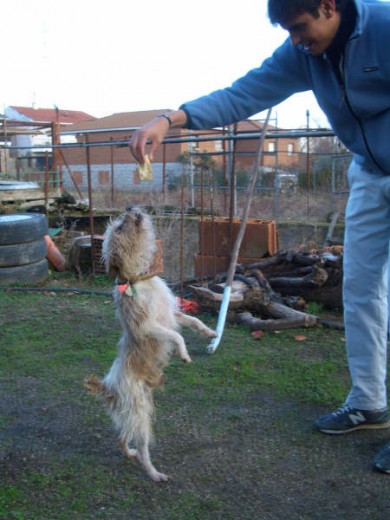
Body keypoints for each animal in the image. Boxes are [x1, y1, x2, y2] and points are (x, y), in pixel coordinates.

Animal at [84, 205, 216, 482]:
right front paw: (184, 354)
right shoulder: (148, 327)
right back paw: (154, 472)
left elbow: (193, 321)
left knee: (123, 437)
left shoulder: (172, 314)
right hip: (139, 411)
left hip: (138, 410)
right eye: (119, 227)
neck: (138, 280)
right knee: (142, 445)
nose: (130, 208)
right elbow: (177, 336)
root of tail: (108, 386)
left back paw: (130, 453)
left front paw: (211, 333)